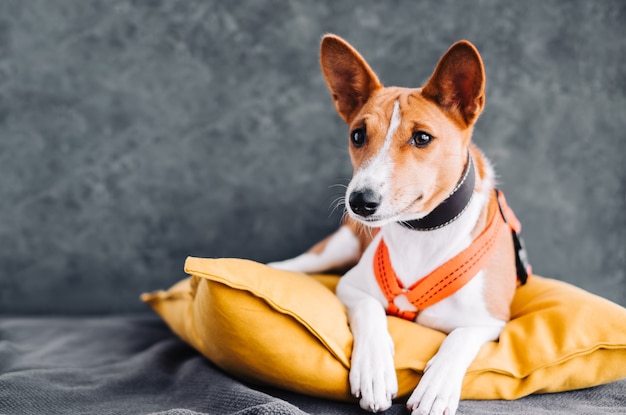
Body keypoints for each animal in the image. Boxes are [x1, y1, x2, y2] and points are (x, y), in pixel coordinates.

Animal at [268, 34, 528, 414]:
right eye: (358, 135)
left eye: (422, 138)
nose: (359, 201)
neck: (423, 231)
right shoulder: (352, 287)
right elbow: (371, 312)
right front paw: (374, 370)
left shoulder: (490, 320)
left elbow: (459, 338)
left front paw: (437, 387)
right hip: (337, 247)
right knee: (294, 264)